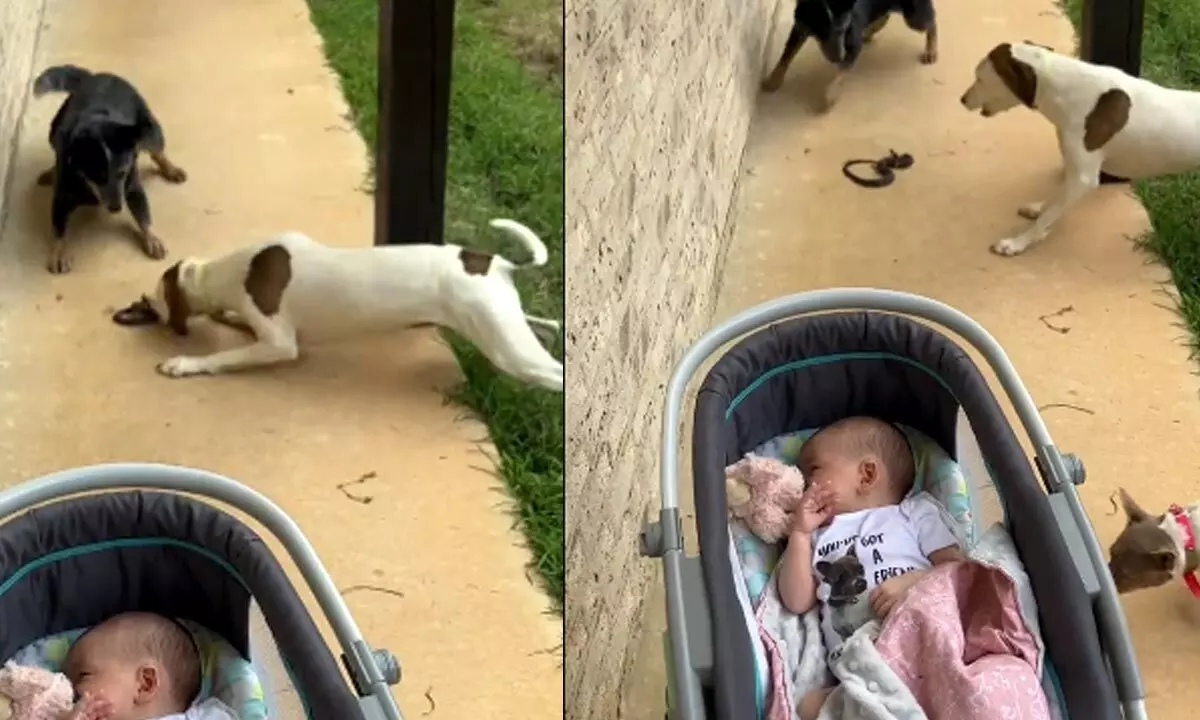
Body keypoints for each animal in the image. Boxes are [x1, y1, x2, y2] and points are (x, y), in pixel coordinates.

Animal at [31, 64, 187, 274]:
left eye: (122, 173)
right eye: (98, 176)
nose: (116, 208)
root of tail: (95, 75)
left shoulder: (132, 186)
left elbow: (144, 215)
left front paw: (152, 238)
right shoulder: (62, 194)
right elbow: (58, 227)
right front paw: (59, 252)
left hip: (148, 128)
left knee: (157, 150)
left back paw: (171, 169)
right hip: (54, 131)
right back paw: (50, 172)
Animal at [112, 218, 561, 391]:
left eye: (153, 298)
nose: (134, 307)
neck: (232, 271)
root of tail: (497, 263)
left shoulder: (280, 344)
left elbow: (224, 357)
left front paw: (185, 363)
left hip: (509, 349)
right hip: (502, 325)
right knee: (543, 329)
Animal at [763, 0, 940, 109]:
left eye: (842, 29)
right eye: (821, 35)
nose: (838, 58)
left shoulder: (853, 42)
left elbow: (843, 70)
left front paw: (831, 95)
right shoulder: (800, 26)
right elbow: (787, 53)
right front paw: (773, 80)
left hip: (914, 17)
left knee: (931, 22)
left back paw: (931, 51)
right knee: (884, 16)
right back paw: (869, 31)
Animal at [960, 41, 1200, 255]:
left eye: (979, 78)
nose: (962, 99)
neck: (1062, 87)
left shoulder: (1084, 179)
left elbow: (1050, 215)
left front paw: (1018, 243)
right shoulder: (1073, 169)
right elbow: (1056, 199)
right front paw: (1039, 208)